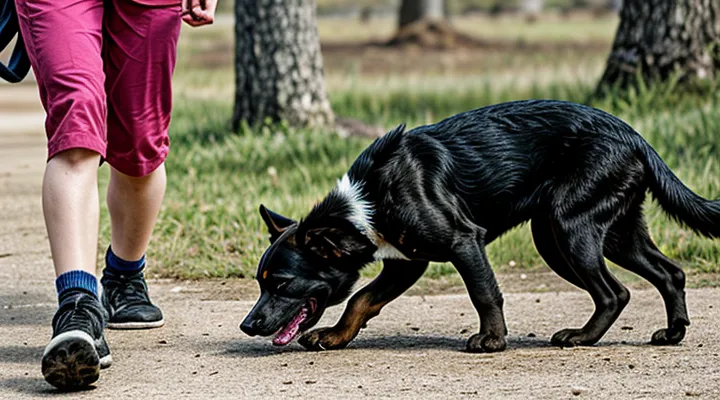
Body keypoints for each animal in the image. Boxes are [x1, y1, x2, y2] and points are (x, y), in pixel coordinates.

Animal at [239, 100, 716, 354]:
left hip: (567, 227)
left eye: (280, 284)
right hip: (609, 232)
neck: (366, 204)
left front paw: (491, 341)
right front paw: (336, 337)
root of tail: (635, 136)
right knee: (669, 273)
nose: (246, 325)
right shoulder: (404, 263)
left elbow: (483, 292)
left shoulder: (463, 241)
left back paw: (581, 338)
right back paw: (673, 333)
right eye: (260, 283)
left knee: (614, 292)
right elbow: (361, 300)